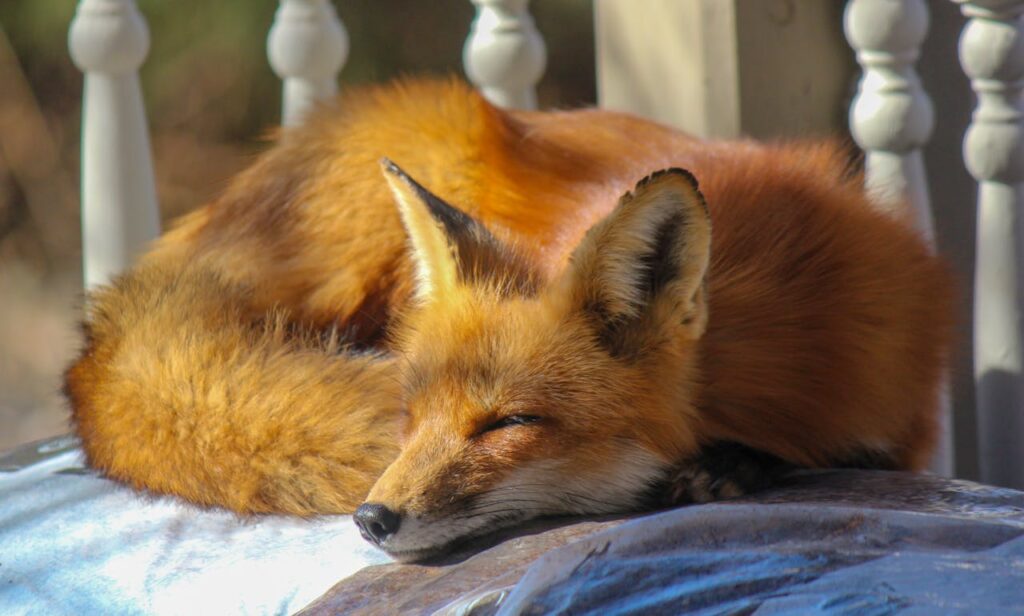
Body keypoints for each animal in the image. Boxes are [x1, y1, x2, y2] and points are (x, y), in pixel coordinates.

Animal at [65, 78, 953, 562]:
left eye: (506, 424)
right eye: (412, 414)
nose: (370, 519)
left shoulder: (896, 413)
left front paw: (737, 466)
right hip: (432, 140)